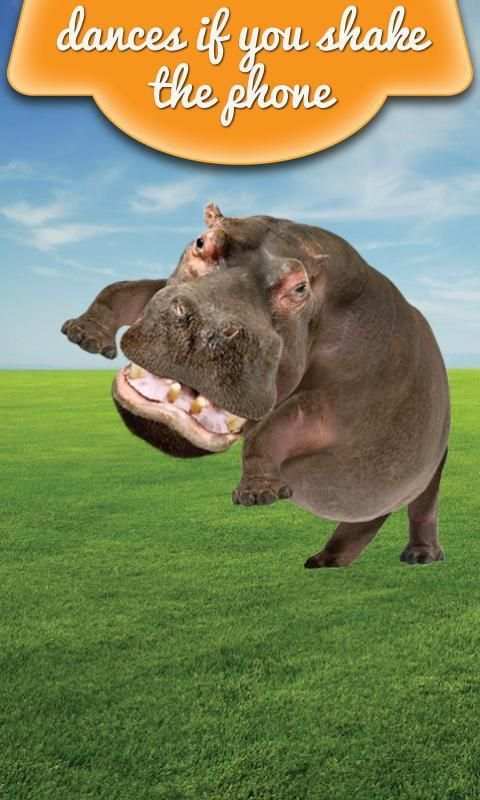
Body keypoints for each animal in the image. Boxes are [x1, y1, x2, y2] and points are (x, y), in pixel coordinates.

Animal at [61, 203, 450, 568]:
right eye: (201, 241)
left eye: (299, 288)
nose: (207, 327)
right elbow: (129, 289)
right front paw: (84, 334)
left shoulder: (344, 403)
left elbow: (278, 424)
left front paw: (257, 495)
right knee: (367, 517)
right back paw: (325, 561)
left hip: (435, 461)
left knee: (422, 506)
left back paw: (420, 556)